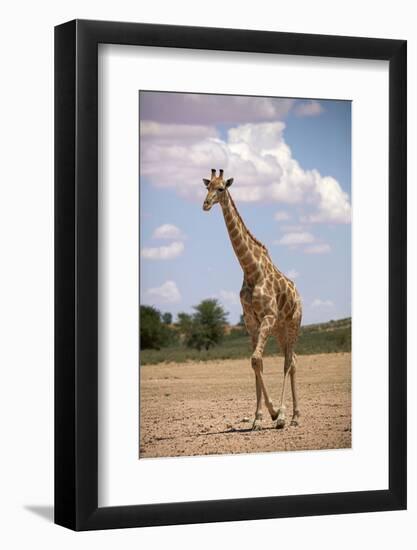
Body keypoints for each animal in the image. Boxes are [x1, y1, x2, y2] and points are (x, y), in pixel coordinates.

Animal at [202, 168, 302, 432]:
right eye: (206, 187)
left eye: (221, 188)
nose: (205, 204)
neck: (250, 270)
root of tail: (298, 294)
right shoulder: (251, 321)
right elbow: (256, 363)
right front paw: (258, 417)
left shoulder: (268, 315)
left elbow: (257, 359)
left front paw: (276, 413)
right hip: (279, 330)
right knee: (293, 360)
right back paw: (296, 415)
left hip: (292, 325)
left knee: (288, 362)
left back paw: (288, 415)